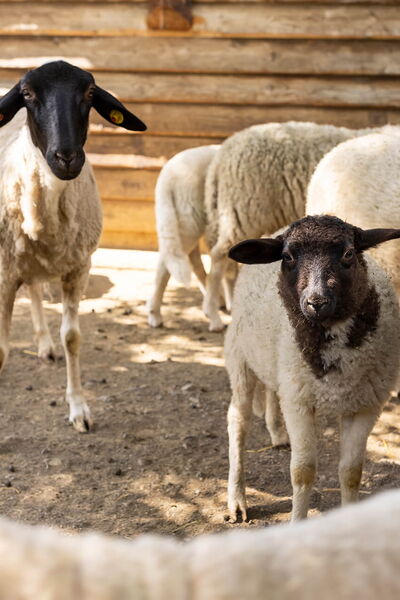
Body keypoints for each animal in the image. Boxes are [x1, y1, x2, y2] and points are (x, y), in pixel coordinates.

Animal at [0, 60, 146, 431]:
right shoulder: (4, 275)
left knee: (35, 290)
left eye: (90, 93)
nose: (66, 157)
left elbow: (72, 338)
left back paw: (45, 344)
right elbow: (1, 350)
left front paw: (79, 408)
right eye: (27, 94)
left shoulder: (78, 269)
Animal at [225, 215, 400, 522]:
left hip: (276, 363)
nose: (315, 302)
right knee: (238, 419)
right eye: (287, 257)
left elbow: (351, 472)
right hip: (240, 357)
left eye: (348, 253)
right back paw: (236, 498)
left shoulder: (366, 405)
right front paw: (297, 522)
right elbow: (303, 472)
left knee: (272, 392)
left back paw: (277, 434)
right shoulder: (300, 402)